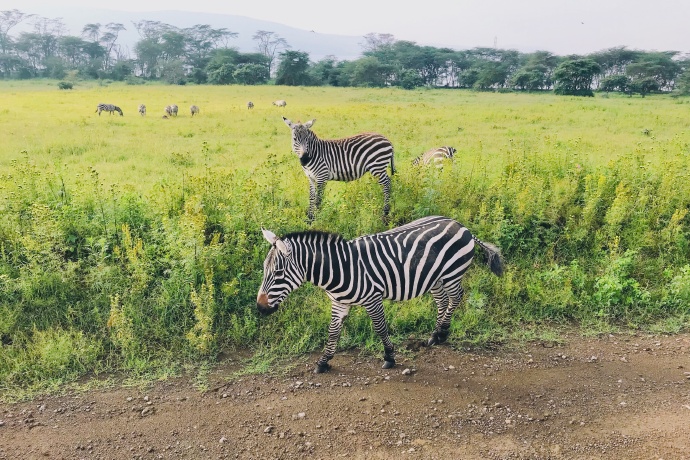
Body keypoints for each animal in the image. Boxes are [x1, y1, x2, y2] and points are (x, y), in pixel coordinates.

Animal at [255, 217, 502, 374]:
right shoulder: (339, 303)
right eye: (264, 270)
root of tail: (460, 225)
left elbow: (380, 327)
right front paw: (323, 362)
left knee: (456, 297)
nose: (260, 307)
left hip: (451, 273)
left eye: (278, 273)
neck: (340, 269)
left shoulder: (373, 299)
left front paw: (389, 357)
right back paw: (435, 335)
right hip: (434, 278)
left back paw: (442, 332)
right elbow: (333, 332)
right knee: (442, 301)